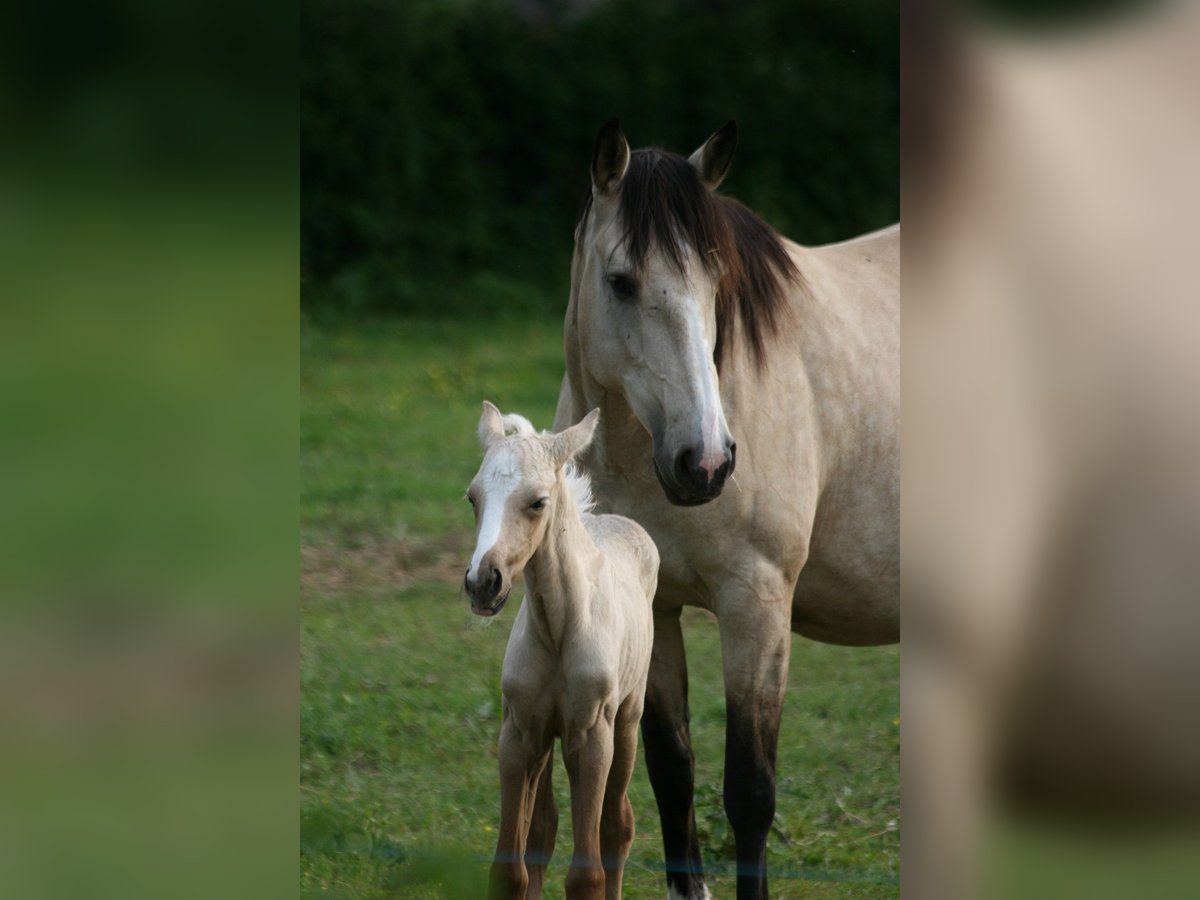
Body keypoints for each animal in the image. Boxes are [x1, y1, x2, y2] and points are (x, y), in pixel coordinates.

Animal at [465, 403, 657, 900]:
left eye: (537, 502)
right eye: (473, 498)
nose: (482, 582)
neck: (557, 630)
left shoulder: (590, 735)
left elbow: (587, 874)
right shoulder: (519, 730)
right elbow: (512, 866)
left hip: (627, 719)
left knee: (617, 825)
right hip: (547, 737)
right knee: (543, 829)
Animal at [554, 121, 902, 900]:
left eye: (716, 284)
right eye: (620, 282)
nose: (705, 462)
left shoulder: (756, 605)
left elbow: (749, 790)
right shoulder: (655, 610)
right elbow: (671, 771)